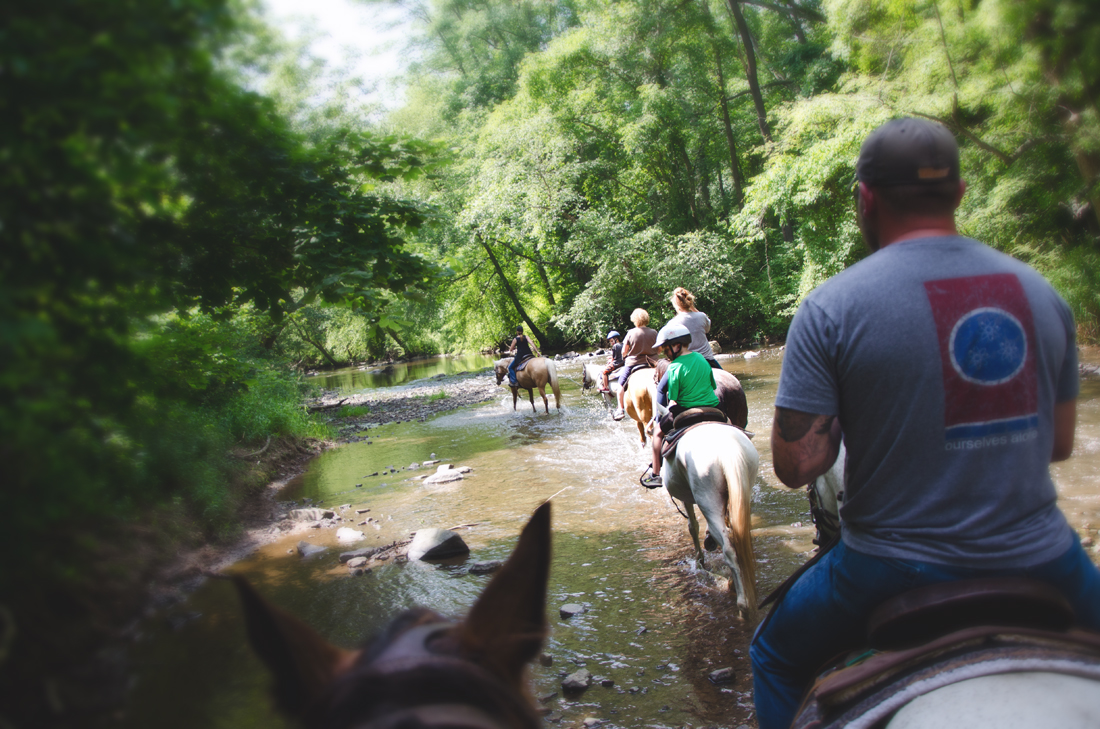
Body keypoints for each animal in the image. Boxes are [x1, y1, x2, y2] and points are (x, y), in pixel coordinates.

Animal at [651, 404, 756, 615]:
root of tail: (727, 447)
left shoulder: (686, 498)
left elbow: (693, 527)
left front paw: (700, 561)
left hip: (706, 496)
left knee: (729, 549)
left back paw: (742, 604)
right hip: (741, 489)